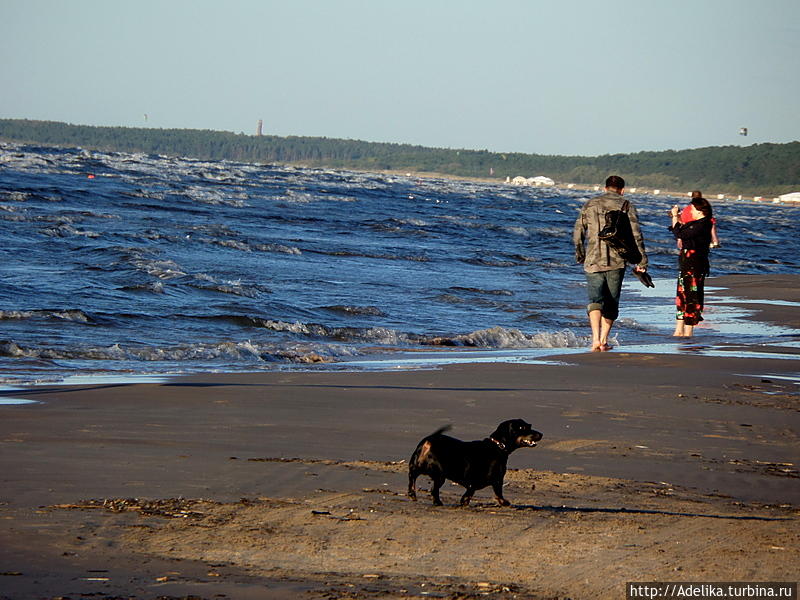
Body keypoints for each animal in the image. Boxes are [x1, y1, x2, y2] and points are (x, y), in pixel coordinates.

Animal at [406, 420, 544, 508]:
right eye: (523, 428)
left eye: (529, 425)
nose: (541, 434)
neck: (497, 446)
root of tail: (428, 441)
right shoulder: (496, 480)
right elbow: (497, 493)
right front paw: (505, 503)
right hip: (440, 475)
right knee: (433, 490)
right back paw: (437, 502)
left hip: (417, 467)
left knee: (412, 478)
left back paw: (413, 494)